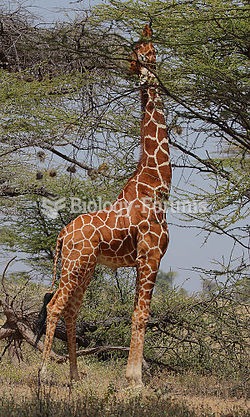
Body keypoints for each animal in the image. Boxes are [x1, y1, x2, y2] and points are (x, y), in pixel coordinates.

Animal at [38, 23, 172, 386]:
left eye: (146, 49)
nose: (134, 67)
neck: (157, 182)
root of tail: (62, 236)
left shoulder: (142, 259)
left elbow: (138, 312)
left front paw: (133, 376)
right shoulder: (150, 255)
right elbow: (141, 314)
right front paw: (135, 380)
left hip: (85, 268)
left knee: (72, 310)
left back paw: (74, 375)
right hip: (74, 266)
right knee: (55, 306)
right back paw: (43, 372)